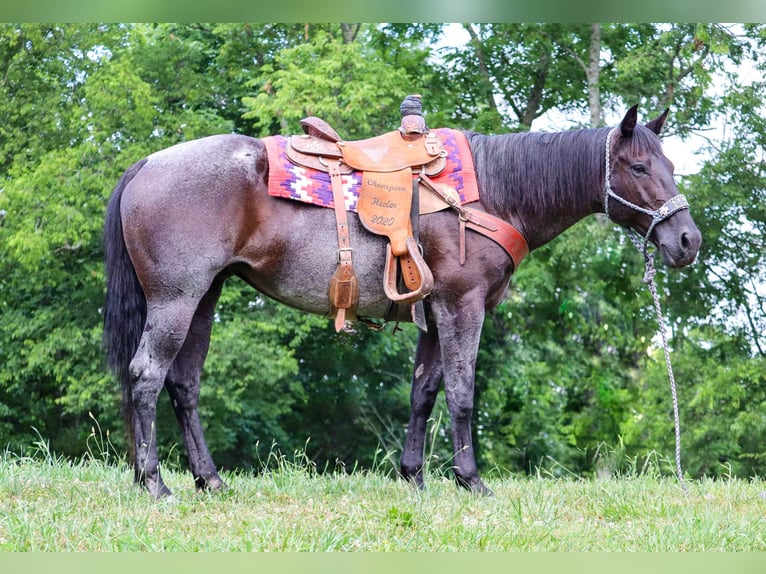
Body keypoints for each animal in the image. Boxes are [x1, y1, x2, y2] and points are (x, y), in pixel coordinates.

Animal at [105, 104, 704, 500]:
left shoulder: (434, 314)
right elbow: (461, 393)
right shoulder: (463, 306)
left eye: (671, 166)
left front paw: (413, 475)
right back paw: (155, 483)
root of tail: (146, 164)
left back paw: (207, 479)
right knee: (146, 376)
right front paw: (470, 479)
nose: (687, 242)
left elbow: (424, 392)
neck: (491, 191)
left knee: (184, 386)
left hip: (203, 299)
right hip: (177, 300)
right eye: (639, 167)